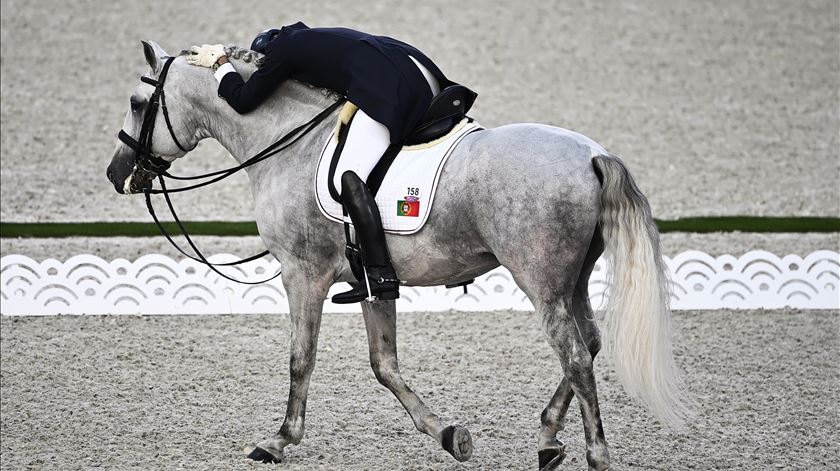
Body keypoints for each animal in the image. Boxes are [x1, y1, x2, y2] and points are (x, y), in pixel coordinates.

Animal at [106, 40, 688, 471]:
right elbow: (384, 365)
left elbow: (301, 358)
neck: (286, 142)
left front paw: (280, 439)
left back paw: (594, 454)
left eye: (136, 103)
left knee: (576, 357)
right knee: (588, 344)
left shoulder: (302, 275)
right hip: (574, 280)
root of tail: (593, 155)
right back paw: (547, 439)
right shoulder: (368, 279)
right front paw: (449, 435)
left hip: (541, 283)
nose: (116, 174)